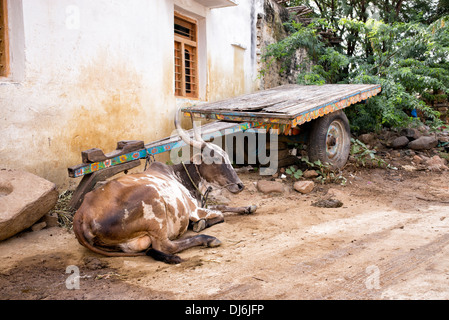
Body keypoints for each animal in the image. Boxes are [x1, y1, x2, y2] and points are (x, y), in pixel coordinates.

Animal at [74, 109, 256, 264]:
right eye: (216, 159)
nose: (240, 185)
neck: (182, 177)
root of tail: (81, 214)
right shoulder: (194, 210)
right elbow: (220, 214)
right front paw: (200, 224)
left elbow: (222, 206)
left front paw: (248, 207)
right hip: (154, 206)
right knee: (166, 246)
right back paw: (207, 239)